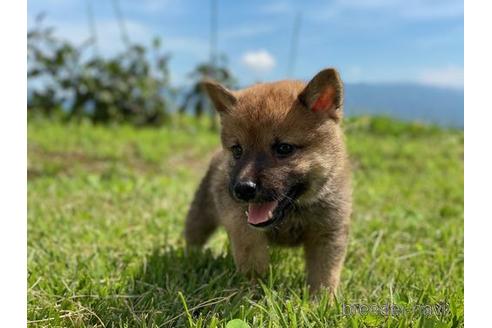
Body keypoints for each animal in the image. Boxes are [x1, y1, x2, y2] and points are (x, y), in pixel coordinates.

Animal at [184, 68, 350, 294]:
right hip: (201, 214)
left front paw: (322, 300)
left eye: (284, 148)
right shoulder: (239, 221)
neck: (294, 213)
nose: (242, 189)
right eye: (237, 150)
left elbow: (325, 275)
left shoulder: (328, 233)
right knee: (193, 237)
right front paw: (255, 289)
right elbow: (251, 253)